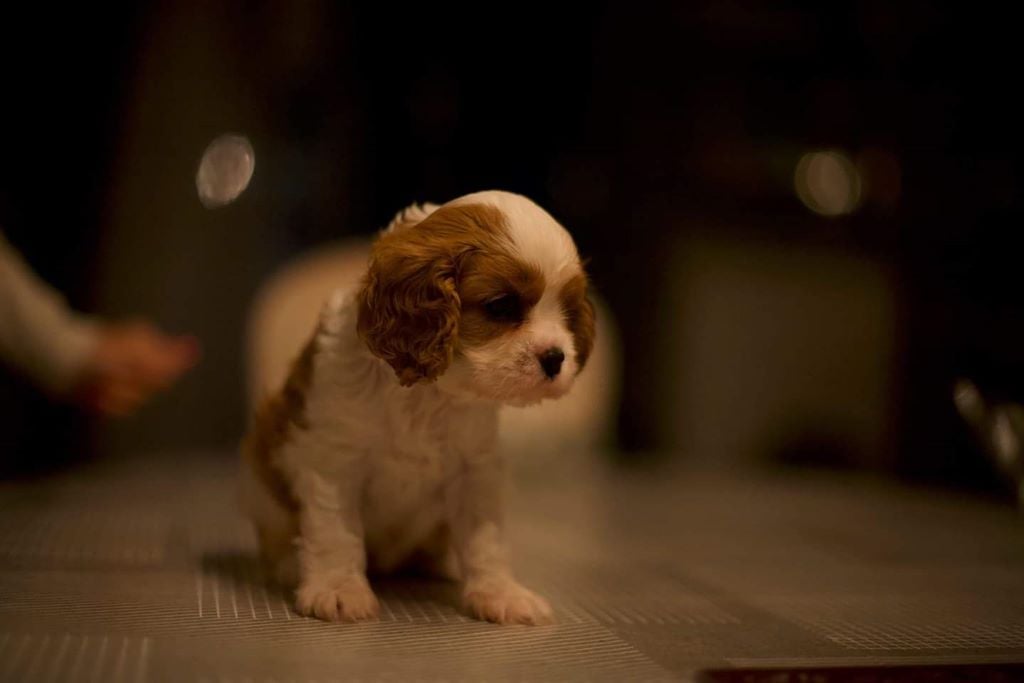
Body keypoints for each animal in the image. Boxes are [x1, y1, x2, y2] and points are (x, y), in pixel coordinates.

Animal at [238, 188, 593, 626]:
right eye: (501, 306)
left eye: (567, 312)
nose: (556, 358)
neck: (431, 394)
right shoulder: (333, 460)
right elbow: (335, 533)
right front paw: (337, 589)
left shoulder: (475, 471)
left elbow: (486, 541)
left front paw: (500, 594)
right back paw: (290, 564)